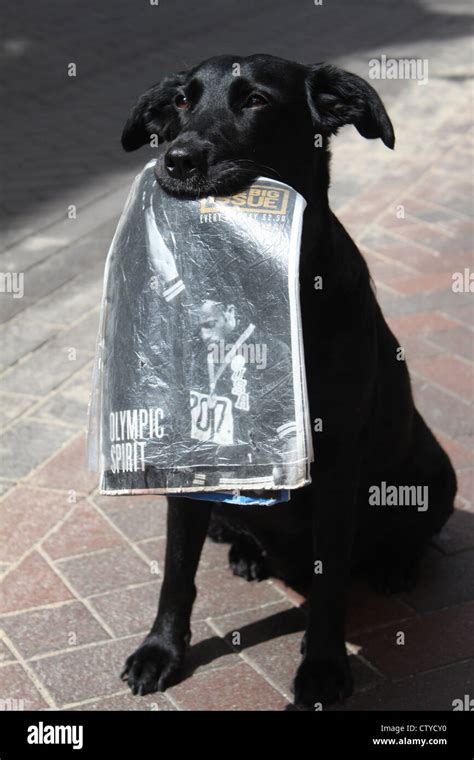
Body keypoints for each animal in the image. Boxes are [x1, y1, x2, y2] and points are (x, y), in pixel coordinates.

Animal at [118, 53, 456, 708]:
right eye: (180, 101)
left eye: (255, 101)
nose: (177, 159)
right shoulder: (191, 452)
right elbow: (176, 572)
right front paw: (161, 650)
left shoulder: (336, 464)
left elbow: (330, 586)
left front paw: (322, 667)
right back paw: (247, 552)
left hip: (436, 473)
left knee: (409, 537)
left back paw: (395, 566)